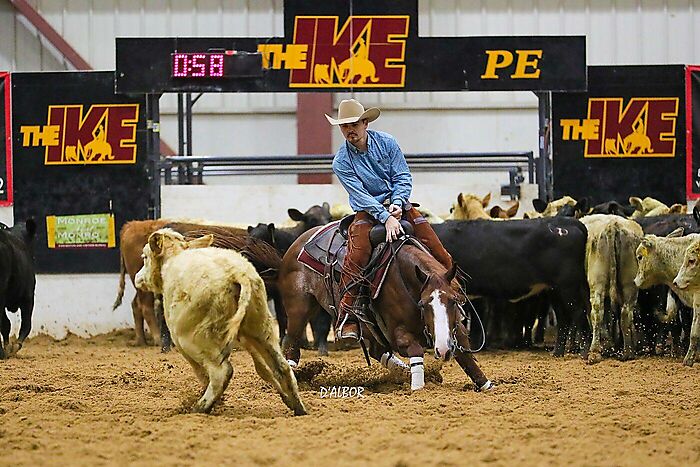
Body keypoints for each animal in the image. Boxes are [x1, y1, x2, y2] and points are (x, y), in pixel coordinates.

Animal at [135, 229, 306, 415]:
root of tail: (236, 273)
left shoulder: (183, 344)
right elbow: (262, 369)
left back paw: (200, 407)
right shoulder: (244, 338)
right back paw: (299, 407)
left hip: (195, 340)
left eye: (144, 257)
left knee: (221, 372)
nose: (137, 277)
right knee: (282, 367)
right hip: (260, 328)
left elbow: (202, 373)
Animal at [278, 223, 493, 391]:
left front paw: (486, 384)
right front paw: (417, 386)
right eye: (423, 304)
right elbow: (416, 350)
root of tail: (300, 241)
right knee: (291, 343)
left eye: (454, 300)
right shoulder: (398, 334)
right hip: (299, 308)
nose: (442, 349)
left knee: (376, 350)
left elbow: (465, 354)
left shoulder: (455, 329)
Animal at [432, 218, 589, 357]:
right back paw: (557, 353)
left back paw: (584, 354)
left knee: (579, 313)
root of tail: (566, 221)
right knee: (564, 318)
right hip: (554, 289)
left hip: (569, 286)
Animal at [579, 215, 643, 363]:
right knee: (625, 313)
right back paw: (628, 352)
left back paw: (595, 351)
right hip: (629, 284)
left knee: (597, 313)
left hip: (597, 283)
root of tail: (613, 225)